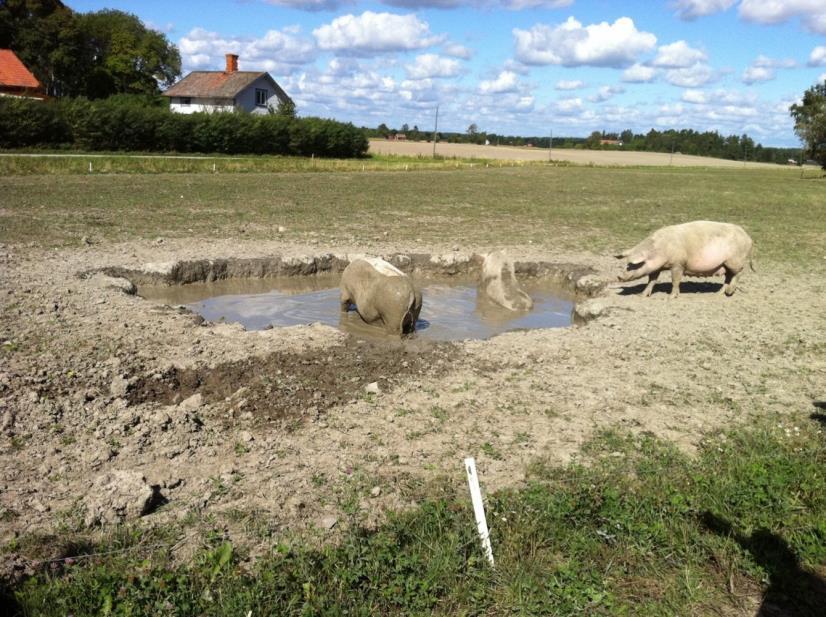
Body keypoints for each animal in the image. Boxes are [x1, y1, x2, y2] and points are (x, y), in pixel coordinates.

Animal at [612, 221, 752, 298]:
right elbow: (652, 281)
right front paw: (642, 295)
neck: (660, 249)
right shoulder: (656, 268)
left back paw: (729, 292)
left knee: (739, 273)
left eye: (634, 264)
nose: (619, 276)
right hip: (725, 264)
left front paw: (670, 297)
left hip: (735, 260)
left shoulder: (678, 264)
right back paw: (718, 293)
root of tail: (749, 238)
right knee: (728, 277)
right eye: (627, 263)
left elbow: (675, 280)